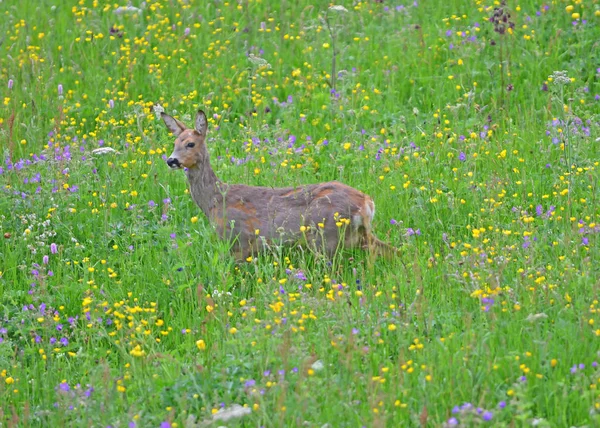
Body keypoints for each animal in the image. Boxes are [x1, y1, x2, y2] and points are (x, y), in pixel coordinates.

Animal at [162, 108, 400, 262]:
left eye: (190, 144)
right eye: (174, 143)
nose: (171, 160)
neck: (215, 200)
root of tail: (366, 203)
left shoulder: (239, 239)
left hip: (326, 236)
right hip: (359, 236)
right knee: (394, 251)